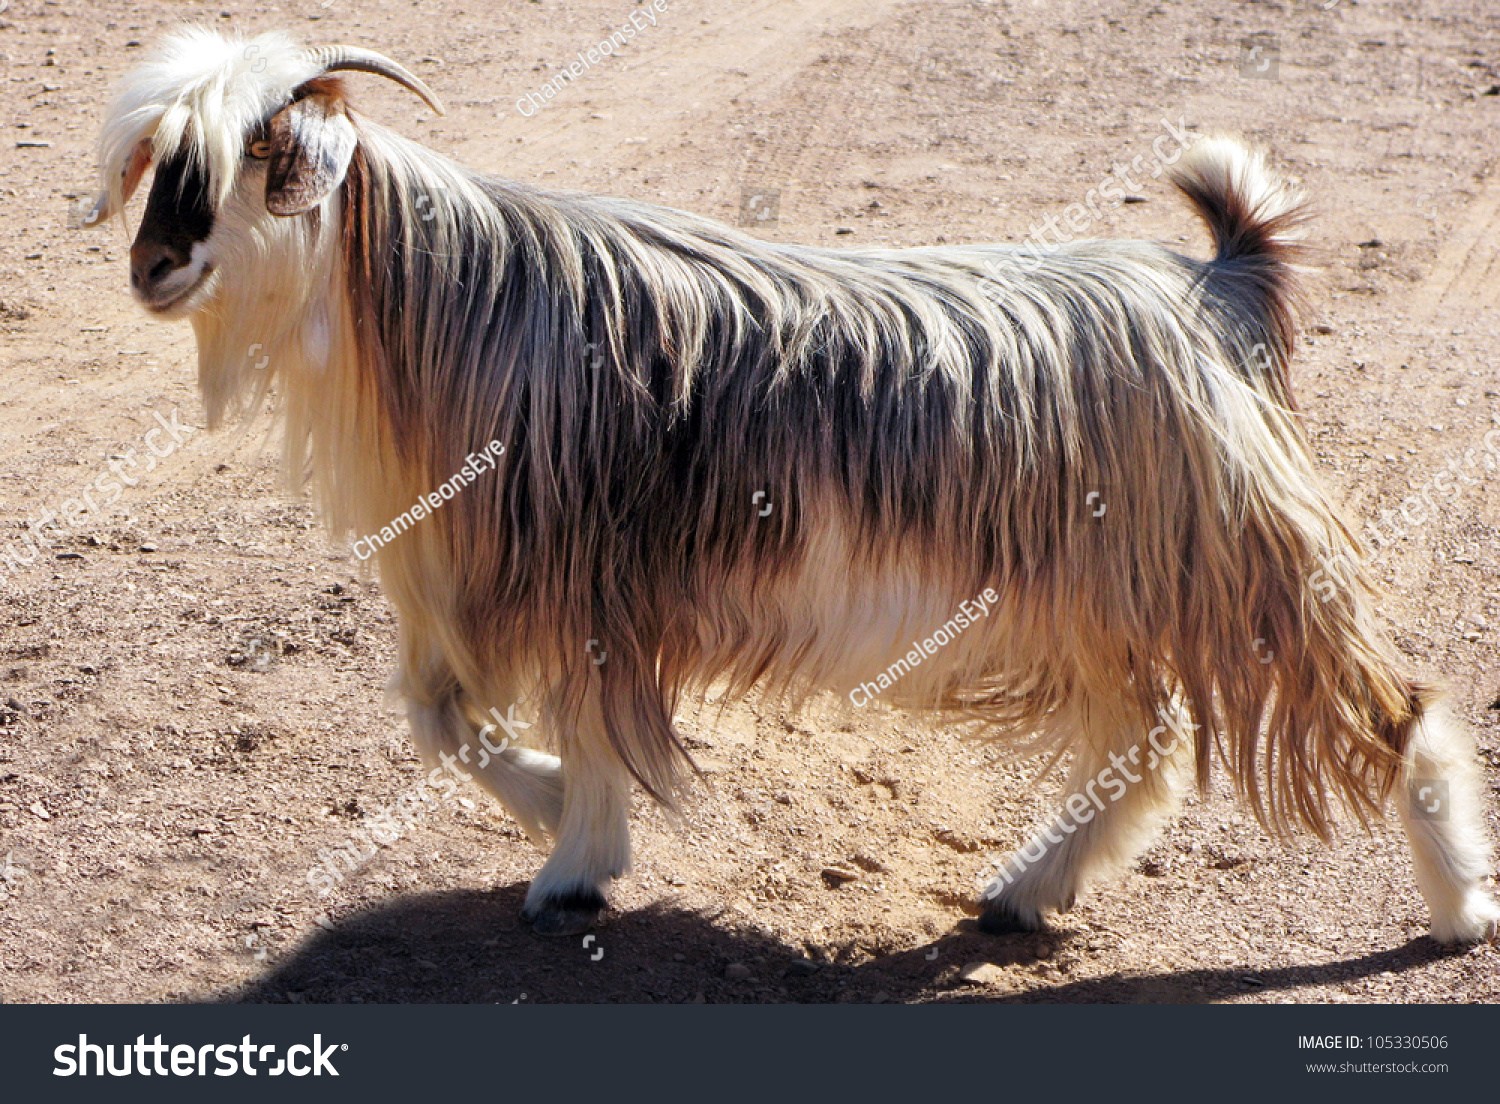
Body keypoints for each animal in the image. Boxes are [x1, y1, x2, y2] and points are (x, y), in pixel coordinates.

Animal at [87, 28, 1494, 942]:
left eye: (255, 155)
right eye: (160, 160)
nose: (151, 269)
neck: (458, 309)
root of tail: (1213, 285)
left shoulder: (589, 591)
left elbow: (554, 728)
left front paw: (572, 860)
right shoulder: (498, 593)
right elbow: (444, 716)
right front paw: (568, 836)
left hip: (1246, 567)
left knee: (1399, 713)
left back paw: (1459, 911)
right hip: (1103, 592)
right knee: (1139, 747)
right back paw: (1027, 892)